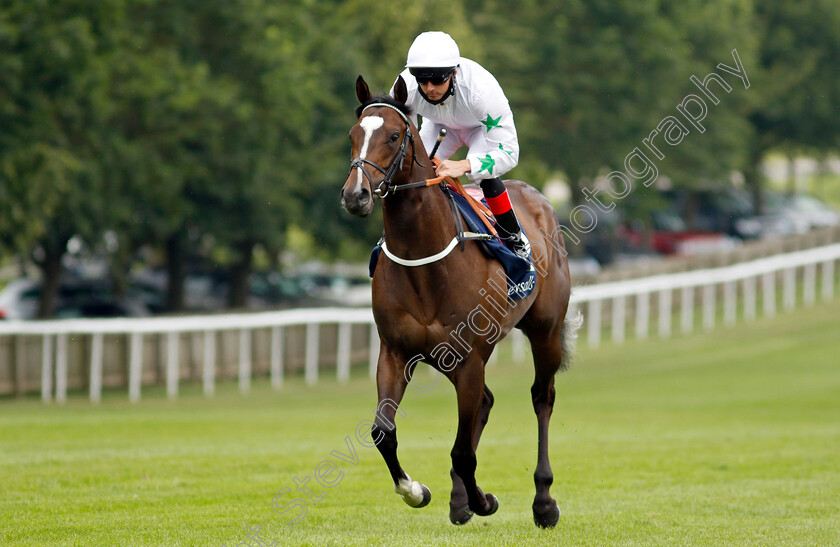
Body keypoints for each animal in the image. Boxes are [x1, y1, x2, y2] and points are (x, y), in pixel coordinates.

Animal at [340, 75, 576, 528]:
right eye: (353, 135)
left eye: (393, 136)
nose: (355, 196)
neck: (423, 258)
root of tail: (539, 201)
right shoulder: (396, 352)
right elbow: (383, 432)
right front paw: (416, 490)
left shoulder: (470, 359)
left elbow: (463, 450)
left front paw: (485, 500)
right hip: (447, 359)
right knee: (485, 403)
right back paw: (459, 498)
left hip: (545, 331)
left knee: (542, 398)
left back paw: (542, 500)